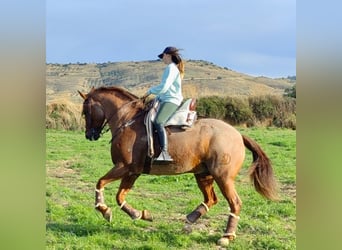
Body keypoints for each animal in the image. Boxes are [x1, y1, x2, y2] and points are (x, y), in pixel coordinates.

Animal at [78, 86, 278, 246]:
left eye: (85, 111)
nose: (89, 135)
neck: (127, 120)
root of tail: (237, 134)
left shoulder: (124, 167)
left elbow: (100, 183)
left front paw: (104, 210)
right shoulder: (133, 172)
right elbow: (120, 196)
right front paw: (139, 214)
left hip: (223, 177)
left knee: (234, 203)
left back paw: (226, 236)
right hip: (203, 174)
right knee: (211, 199)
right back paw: (191, 218)